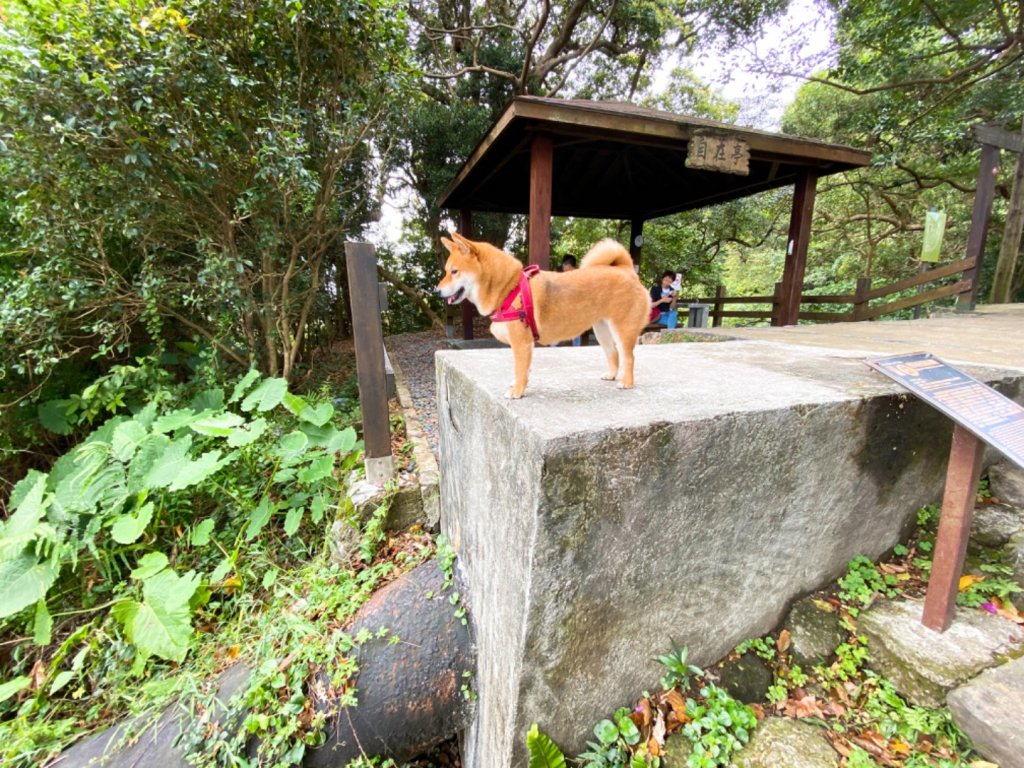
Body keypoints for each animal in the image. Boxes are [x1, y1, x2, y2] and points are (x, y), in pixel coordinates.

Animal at [438, 231, 647, 399]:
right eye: (446, 271)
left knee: (629, 357)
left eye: (454, 272)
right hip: (602, 330)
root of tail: (627, 270)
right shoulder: (526, 344)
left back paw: (626, 382)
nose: (436, 290)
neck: (510, 288)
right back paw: (611, 375)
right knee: (614, 354)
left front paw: (517, 392)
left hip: (622, 330)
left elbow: (519, 369)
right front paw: (519, 385)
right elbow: (523, 370)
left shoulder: (521, 343)